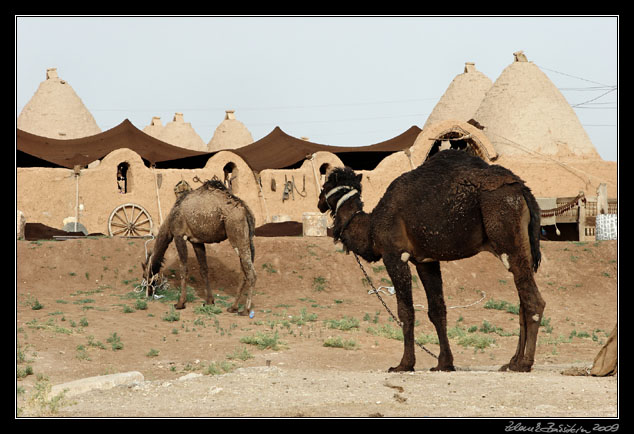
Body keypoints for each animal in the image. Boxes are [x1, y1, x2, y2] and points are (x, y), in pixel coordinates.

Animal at [142, 180, 256, 316]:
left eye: (145, 275)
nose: (148, 293)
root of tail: (246, 211)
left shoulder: (179, 235)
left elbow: (184, 269)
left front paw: (180, 303)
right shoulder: (197, 241)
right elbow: (204, 269)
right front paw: (209, 301)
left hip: (237, 233)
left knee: (251, 273)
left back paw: (245, 310)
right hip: (247, 238)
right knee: (244, 270)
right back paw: (233, 307)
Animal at [316, 150, 544, 372]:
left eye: (324, 186)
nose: (319, 202)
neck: (371, 227)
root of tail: (523, 190)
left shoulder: (394, 255)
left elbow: (406, 311)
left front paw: (404, 364)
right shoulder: (426, 261)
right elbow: (437, 310)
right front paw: (444, 363)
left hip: (506, 235)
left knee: (533, 301)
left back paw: (524, 363)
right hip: (521, 245)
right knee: (522, 301)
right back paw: (512, 362)